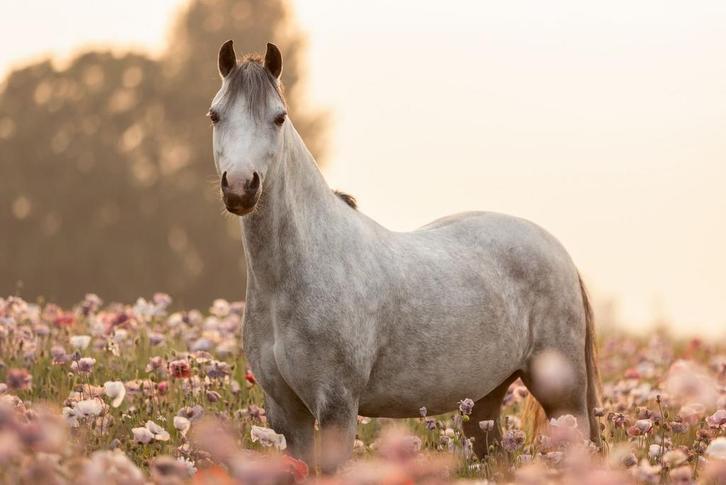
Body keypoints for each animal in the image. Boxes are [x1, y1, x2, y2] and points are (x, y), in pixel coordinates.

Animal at [208, 40, 600, 471]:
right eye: (215, 115)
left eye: (279, 118)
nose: (241, 187)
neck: (292, 277)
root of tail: (560, 253)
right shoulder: (286, 413)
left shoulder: (337, 406)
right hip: (483, 401)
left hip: (563, 399)